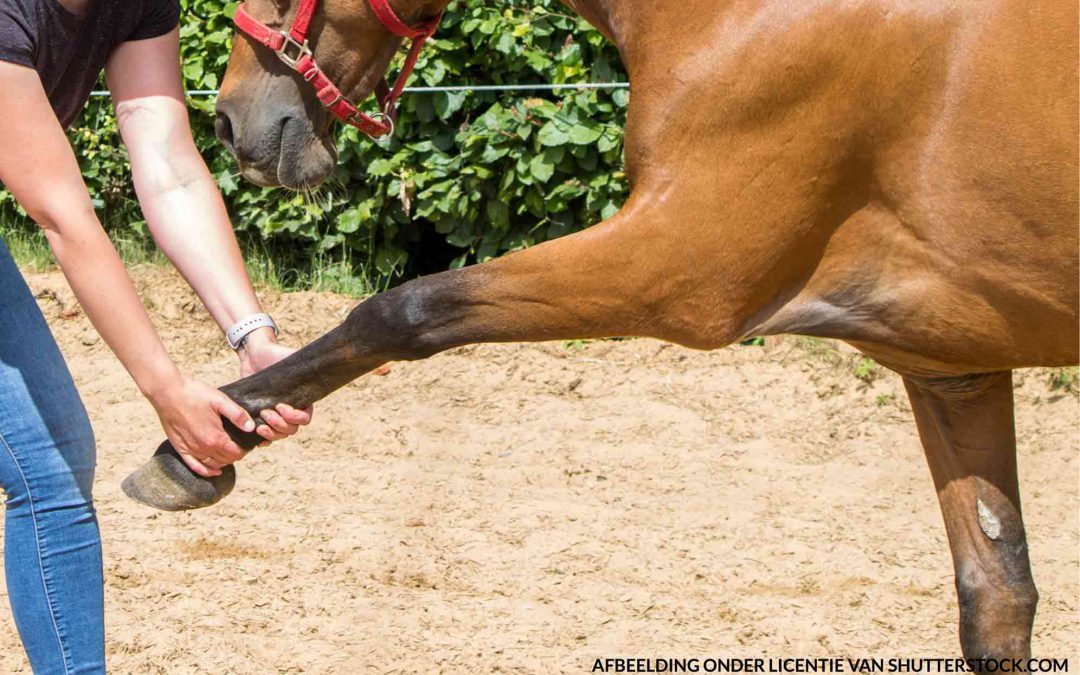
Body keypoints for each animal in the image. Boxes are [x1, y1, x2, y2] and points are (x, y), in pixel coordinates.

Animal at [122, 0, 1075, 660]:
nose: (230, 122)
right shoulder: (949, 364)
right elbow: (997, 597)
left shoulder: (681, 267)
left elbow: (404, 310)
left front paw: (201, 444)